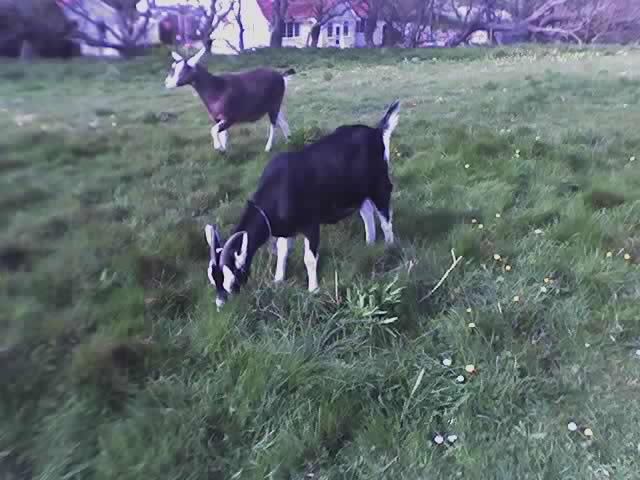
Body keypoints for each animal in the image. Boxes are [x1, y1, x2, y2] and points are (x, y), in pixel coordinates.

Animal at [164, 40, 295, 153]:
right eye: (173, 68)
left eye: (183, 70)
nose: (166, 83)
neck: (216, 88)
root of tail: (281, 76)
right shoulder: (218, 119)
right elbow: (222, 133)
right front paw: (224, 148)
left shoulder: (230, 117)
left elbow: (214, 130)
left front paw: (219, 148)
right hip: (273, 104)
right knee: (281, 119)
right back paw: (288, 139)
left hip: (274, 103)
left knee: (274, 123)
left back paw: (268, 147)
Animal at [204, 100, 401, 309]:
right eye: (213, 280)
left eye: (232, 280)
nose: (220, 306)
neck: (277, 189)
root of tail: (376, 132)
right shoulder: (285, 229)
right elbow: (282, 252)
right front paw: (278, 280)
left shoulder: (311, 224)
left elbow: (310, 259)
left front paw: (313, 289)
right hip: (357, 191)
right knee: (367, 212)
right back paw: (369, 244)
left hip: (379, 185)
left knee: (384, 216)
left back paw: (389, 247)